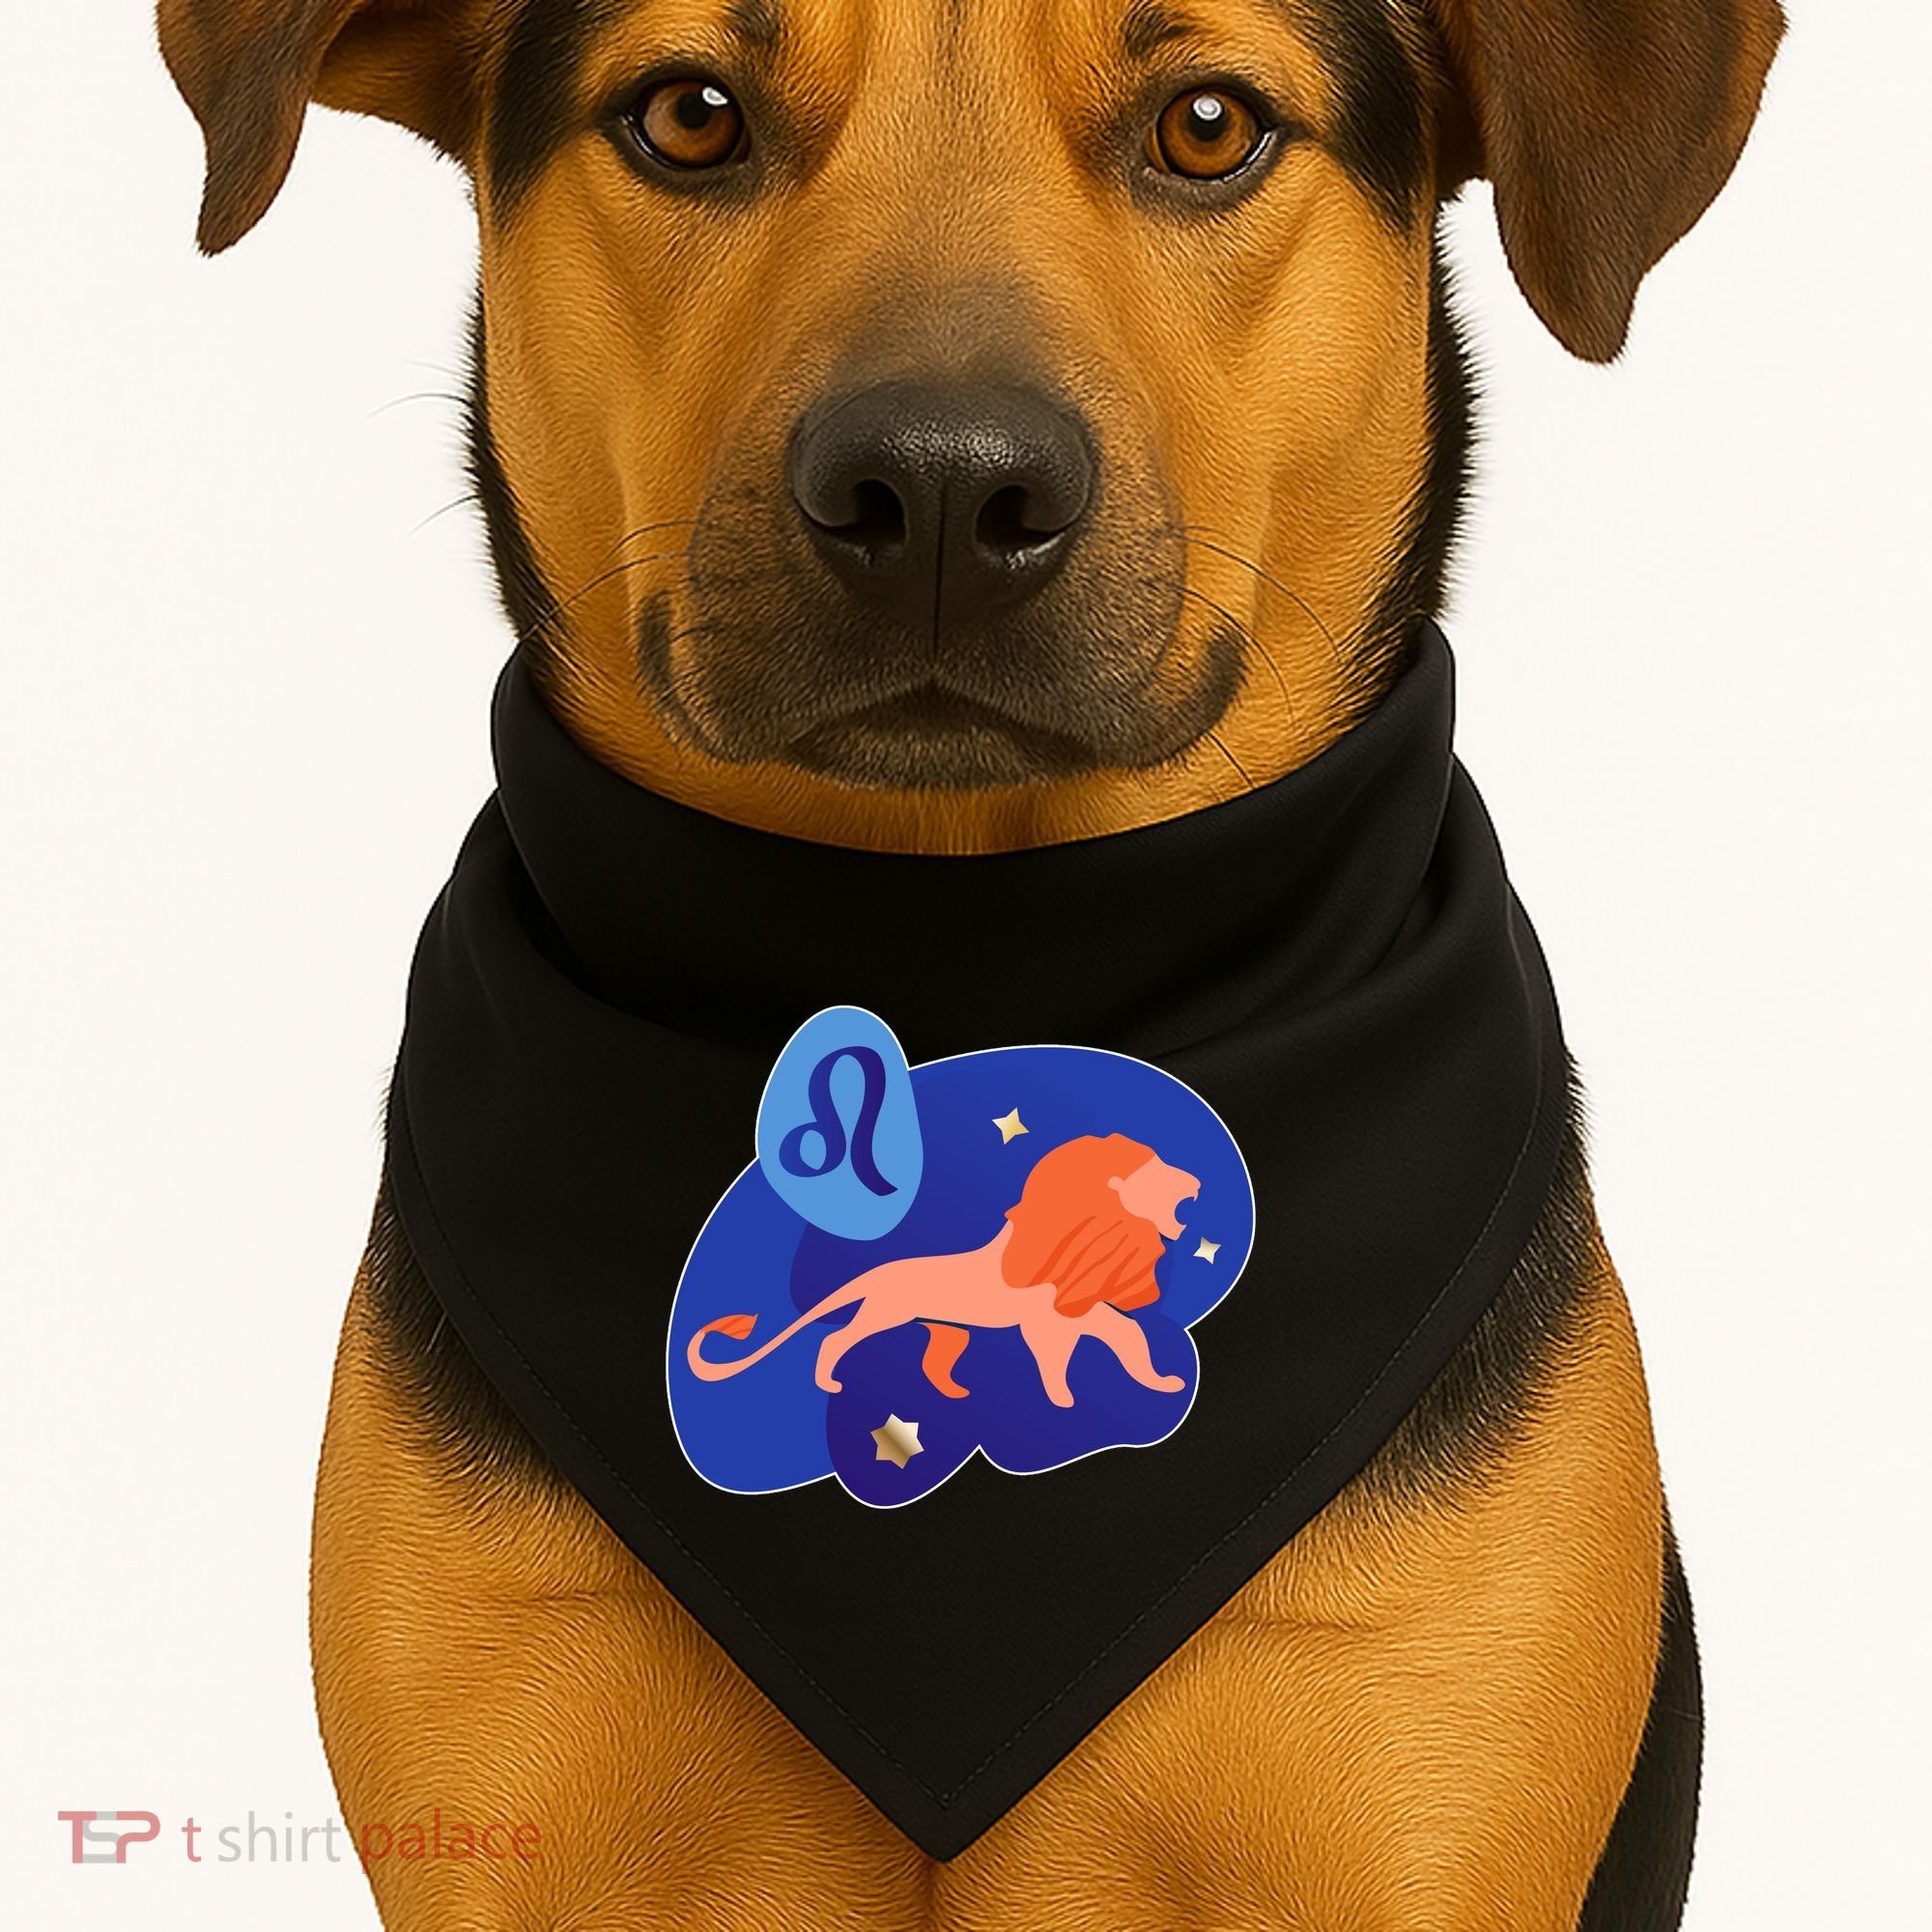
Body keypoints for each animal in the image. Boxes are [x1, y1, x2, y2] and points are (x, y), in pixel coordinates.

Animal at [685, 1133, 1201, 1409]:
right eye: (1157, 1173)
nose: (1196, 1181)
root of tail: (881, 1270)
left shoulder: (1079, 1312)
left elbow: (1130, 1338)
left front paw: (1163, 1384)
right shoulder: (1046, 1323)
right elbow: (1055, 1359)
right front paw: (1063, 1400)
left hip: (946, 1329)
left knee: (933, 1361)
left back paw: (955, 1393)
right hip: (884, 1313)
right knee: (836, 1338)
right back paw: (828, 1382)